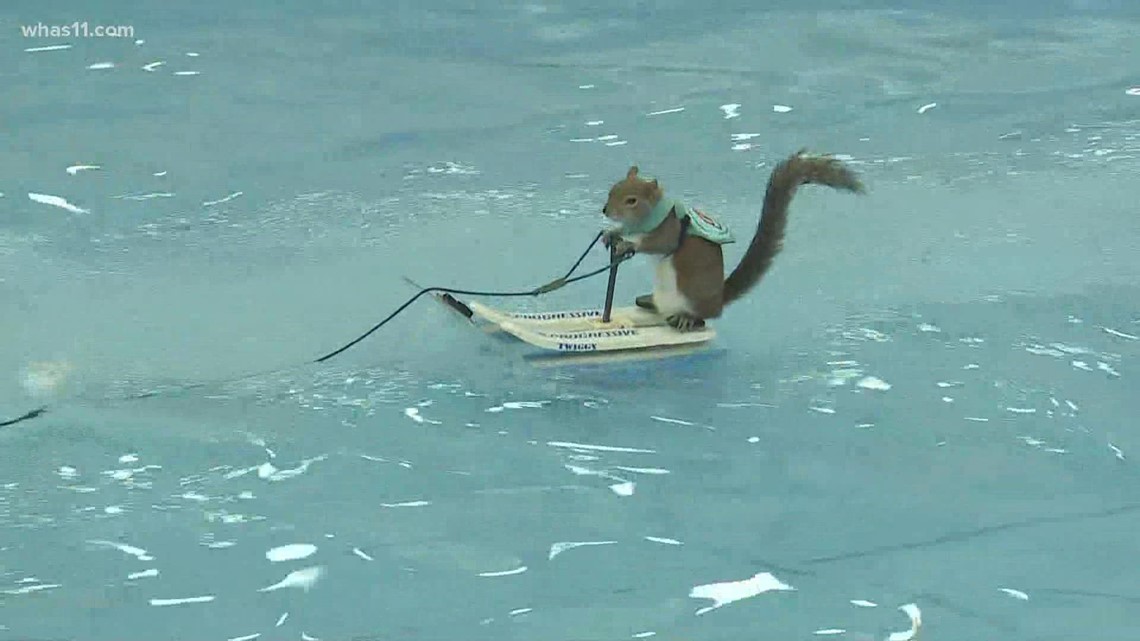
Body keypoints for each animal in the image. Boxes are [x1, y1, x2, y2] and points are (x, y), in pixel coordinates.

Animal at [601, 150, 864, 331]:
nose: (605, 210)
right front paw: (612, 233)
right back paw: (648, 302)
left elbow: (658, 244)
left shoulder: (670, 229)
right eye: (613, 188)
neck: (647, 217)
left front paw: (629, 244)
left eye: (632, 201)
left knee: (703, 317)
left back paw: (687, 318)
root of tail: (719, 300)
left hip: (694, 297)